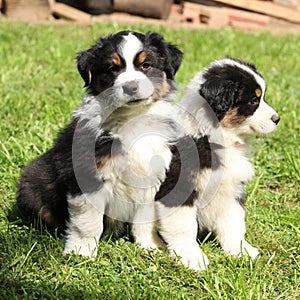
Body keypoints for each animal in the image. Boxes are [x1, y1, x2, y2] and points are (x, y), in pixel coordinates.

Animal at [17, 31, 183, 258]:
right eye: (112, 68)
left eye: (146, 65)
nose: (131, 87)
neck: (131, 119)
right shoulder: (86, 175)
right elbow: (88, 222)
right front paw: (81, 252)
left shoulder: (151, 177)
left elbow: (145, 219)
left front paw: (150, 246)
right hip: (33, 183)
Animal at [156, 58, 280, 272]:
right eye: (253, 101)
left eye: (262, 96)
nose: (277, 119)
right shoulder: (179, 187)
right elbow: (183, 226)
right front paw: (191, 257)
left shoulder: (232, 188)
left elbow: (234, 222)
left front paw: (241, 250)